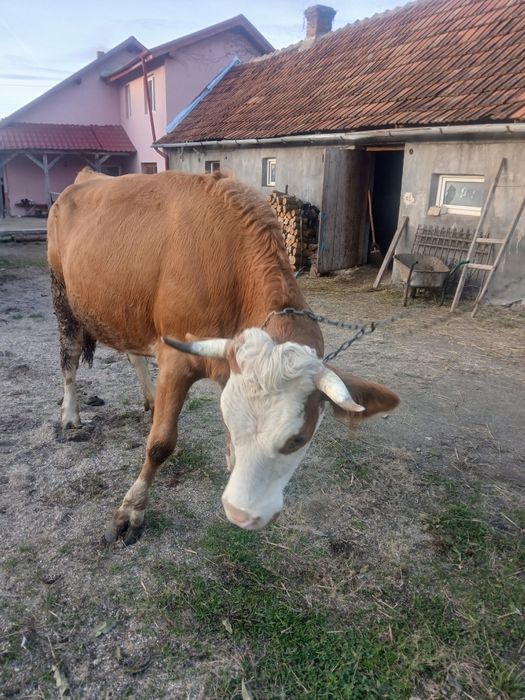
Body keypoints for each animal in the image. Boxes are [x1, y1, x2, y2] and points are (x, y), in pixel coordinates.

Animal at [47, 168, 399, 545]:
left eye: (299, 439)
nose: (241, 514)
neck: (233, 270)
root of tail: (86, 177)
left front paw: (230, 457)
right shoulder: (175, 357)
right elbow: (159, 443)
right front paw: (132, 509)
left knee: (133, 354)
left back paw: (149, 399)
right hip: (62, 293)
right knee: (69, 358)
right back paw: (70, 414)